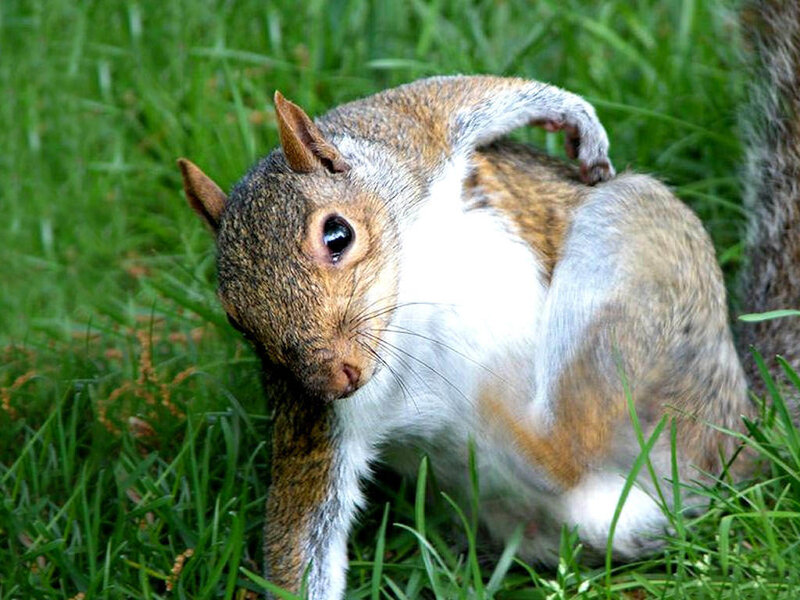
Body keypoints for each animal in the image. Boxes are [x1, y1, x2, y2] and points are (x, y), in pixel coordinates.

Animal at [175, 0, 798, 595]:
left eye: (337, 235)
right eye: (235, 317)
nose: (334, 379)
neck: (403, 309)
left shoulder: (412, 137)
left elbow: (469, 93)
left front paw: (577, 122)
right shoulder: (316, 421)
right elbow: (305, 525)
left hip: (641, 264)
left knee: (569, 448)